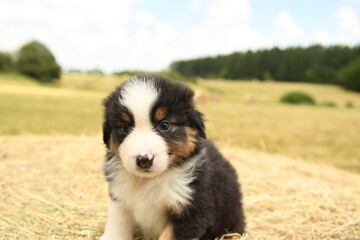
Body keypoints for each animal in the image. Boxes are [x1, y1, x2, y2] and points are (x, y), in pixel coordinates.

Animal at [100, 75, 245, 240]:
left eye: (164, 125)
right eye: (124, 128)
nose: (143, 160)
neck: (149, 181)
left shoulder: (192, 208)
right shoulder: (120, 198)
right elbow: (118, 225)